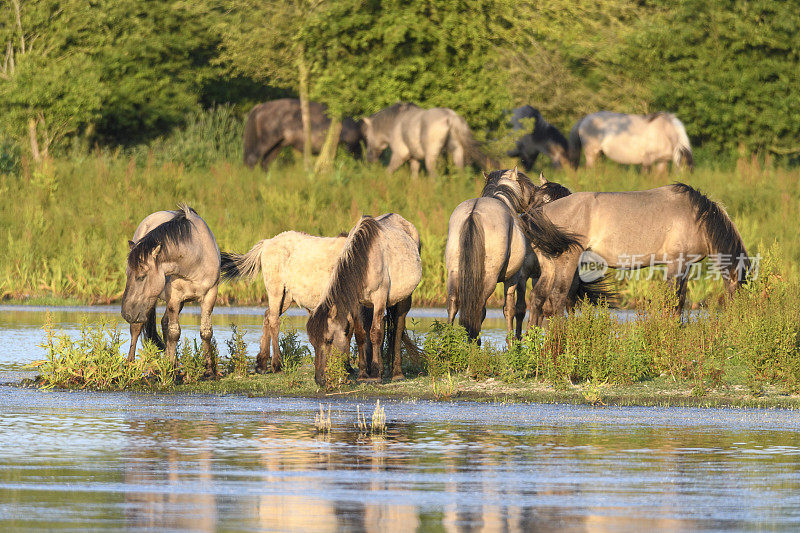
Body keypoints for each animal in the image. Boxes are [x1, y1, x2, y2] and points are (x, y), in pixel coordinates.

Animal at [119, 206, 219, 376]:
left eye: (141, 276)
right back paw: (130, 364)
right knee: (137, 329)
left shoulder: (210, 296)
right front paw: (171, 371)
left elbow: (206, 332)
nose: (126, 313)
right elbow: (174, 333)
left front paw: (208, 371)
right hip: (148, 305)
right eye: (127, 274)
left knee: (164, 324)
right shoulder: (174, 297)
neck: (194, 261)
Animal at [306, 213, 422, 386]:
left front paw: (374, 375)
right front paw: (363, 374)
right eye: (313, 342)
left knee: (397, 330)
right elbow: (361, 335)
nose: (319, 379)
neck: (365, 261)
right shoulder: (357, 304)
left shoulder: (380, 298)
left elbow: (375, 334)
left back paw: (397, 373)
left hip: (403, 299)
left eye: (329, 340)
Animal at [362, 103, 494, 178]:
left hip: (431, 156)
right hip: (457, 152)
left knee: (434, 176)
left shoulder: (399, 155)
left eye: (367, 137)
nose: (369, 158)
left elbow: (388, 172)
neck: (396, 122)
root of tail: (451, 117)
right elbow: (414, 176)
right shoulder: (414, 158)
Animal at [524, 182, 752, 324]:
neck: (697, 218)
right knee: (557, 300)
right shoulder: (675, 264)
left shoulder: (685, 266)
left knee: (537, 299)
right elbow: (673, 301)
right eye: (741, 292)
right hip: (567, 262)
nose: (739, 321)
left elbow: (679, 302)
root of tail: (538, 213)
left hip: (550, 266)